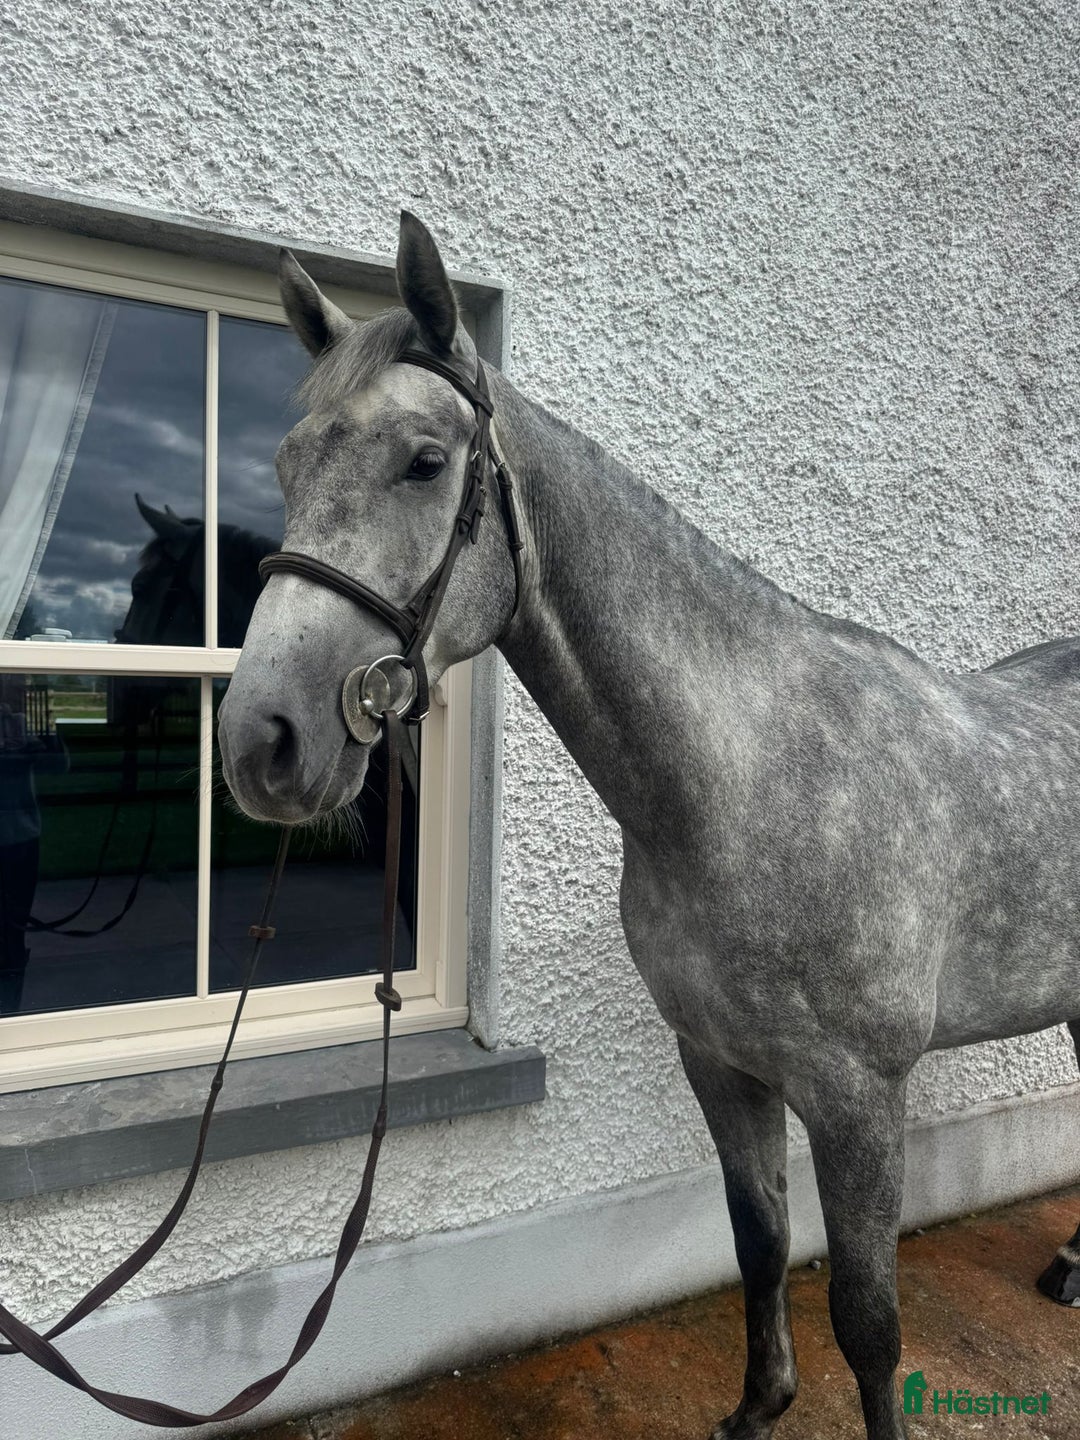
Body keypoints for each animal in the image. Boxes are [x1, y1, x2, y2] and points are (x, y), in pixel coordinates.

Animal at [217, 211, 1080, 1440]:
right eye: (289, 465)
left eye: (424, 462)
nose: (264, 740)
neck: (748, 783)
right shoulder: (718, 1060)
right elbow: (758, 1244)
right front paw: (758, 1408)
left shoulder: (862, 1096)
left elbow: (869, 1321)